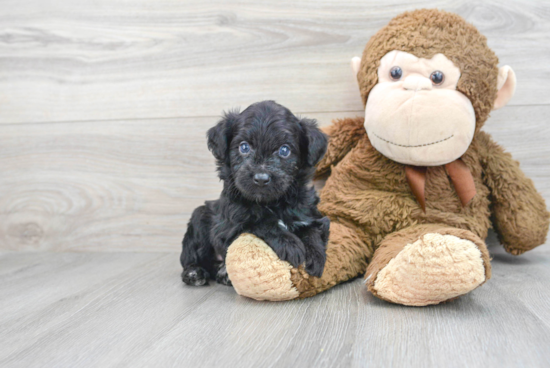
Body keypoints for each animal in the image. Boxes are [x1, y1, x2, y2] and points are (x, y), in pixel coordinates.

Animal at [181, 101, 330, 288]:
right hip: (199, 217)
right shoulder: (231, 225)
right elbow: (260, 222)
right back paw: (195, 272)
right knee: (191, 259)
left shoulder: (310, 214)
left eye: (284, 150)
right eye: (244, 147)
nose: (261, 178)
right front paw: (290, 244)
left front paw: (316, 256)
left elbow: (312, 230)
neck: (272, 203)